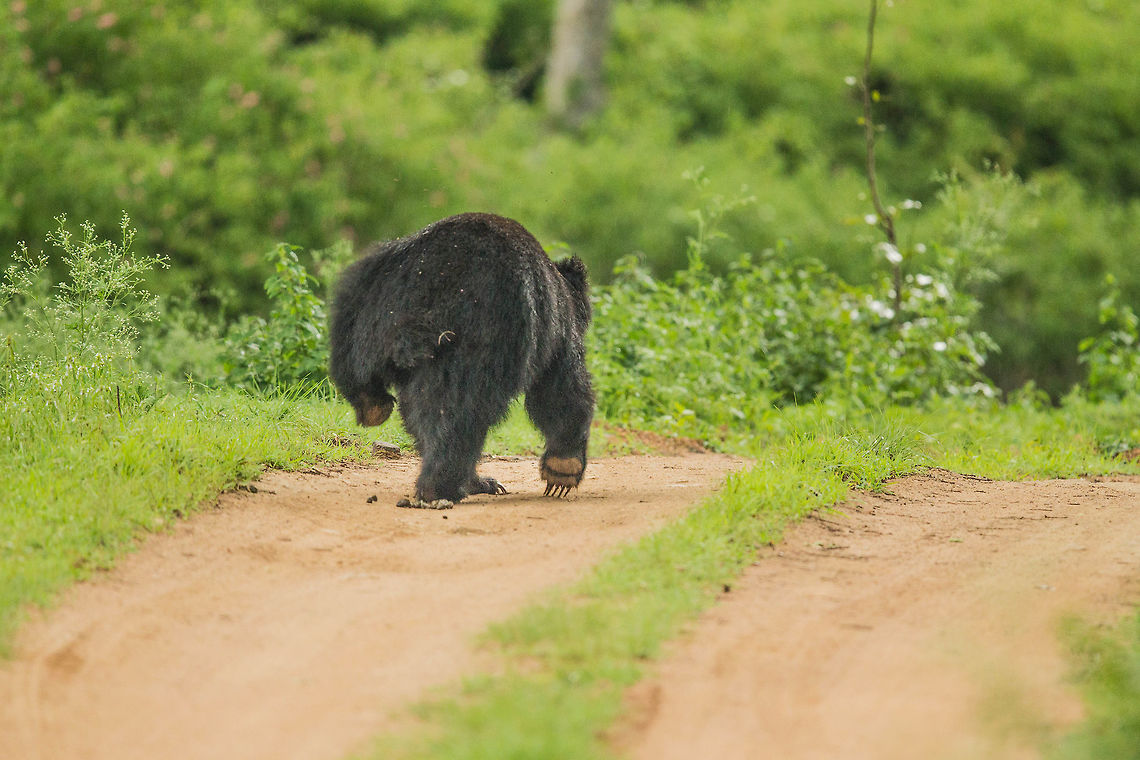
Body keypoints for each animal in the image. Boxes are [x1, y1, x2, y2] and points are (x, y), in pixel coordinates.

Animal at [328, 213, 595, 508]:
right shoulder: (555, 329)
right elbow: (560, 388)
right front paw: (562, 472)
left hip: (368, 299)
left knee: (358, 360)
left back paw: (373, 406)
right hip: (484, 335)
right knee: (462, 410)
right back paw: (442, 486)